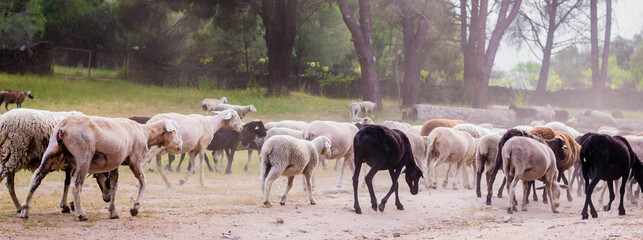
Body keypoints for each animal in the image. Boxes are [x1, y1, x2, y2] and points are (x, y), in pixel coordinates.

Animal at [20, 115, 181, 220]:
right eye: (175, 131)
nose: (180, 146)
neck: (145, 132)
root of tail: (63, 126)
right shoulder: (135, 161)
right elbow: (143, 182)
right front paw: (135, 208)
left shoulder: (115, 164)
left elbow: (114, 187)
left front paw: (113, 211)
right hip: (83, 156)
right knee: (76, 185)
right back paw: (81, 214)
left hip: (51, 151)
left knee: (36, 179)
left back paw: (24, 210)